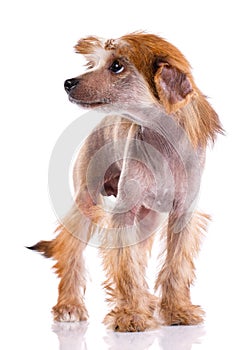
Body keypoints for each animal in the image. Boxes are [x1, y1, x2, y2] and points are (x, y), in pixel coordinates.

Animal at [28, 32, 223, 330]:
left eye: (117, 66)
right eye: (95, 63)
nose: (68, 83)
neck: (162, 141)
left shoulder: (182, 215)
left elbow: (175, 267)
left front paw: (177, 309)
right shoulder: (123, 214)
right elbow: (126, 268)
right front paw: (131, 314)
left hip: (148, 218)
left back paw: (148, 301)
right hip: (87, 204)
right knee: (70, 253)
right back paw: (70, 305)